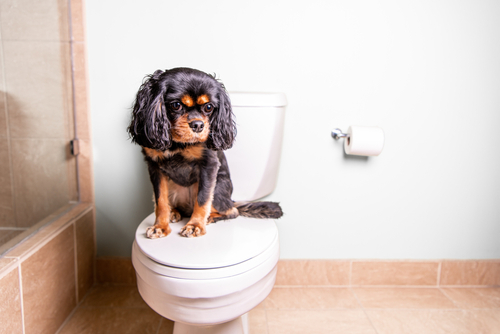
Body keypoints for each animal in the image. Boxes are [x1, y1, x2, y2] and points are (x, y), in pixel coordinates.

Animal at [127, 67, 284, 237]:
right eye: (176, 105)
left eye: (208, 107)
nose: (198, 125)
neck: (178, 142)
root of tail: (231, 199)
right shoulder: (155, 166)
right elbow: (160, 200)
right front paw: (160, 227)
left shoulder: (209, 165)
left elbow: (202, 199)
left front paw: (195, 225)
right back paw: (173, 212)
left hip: (218, 187)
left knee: (232, 211)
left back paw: (210, 217)